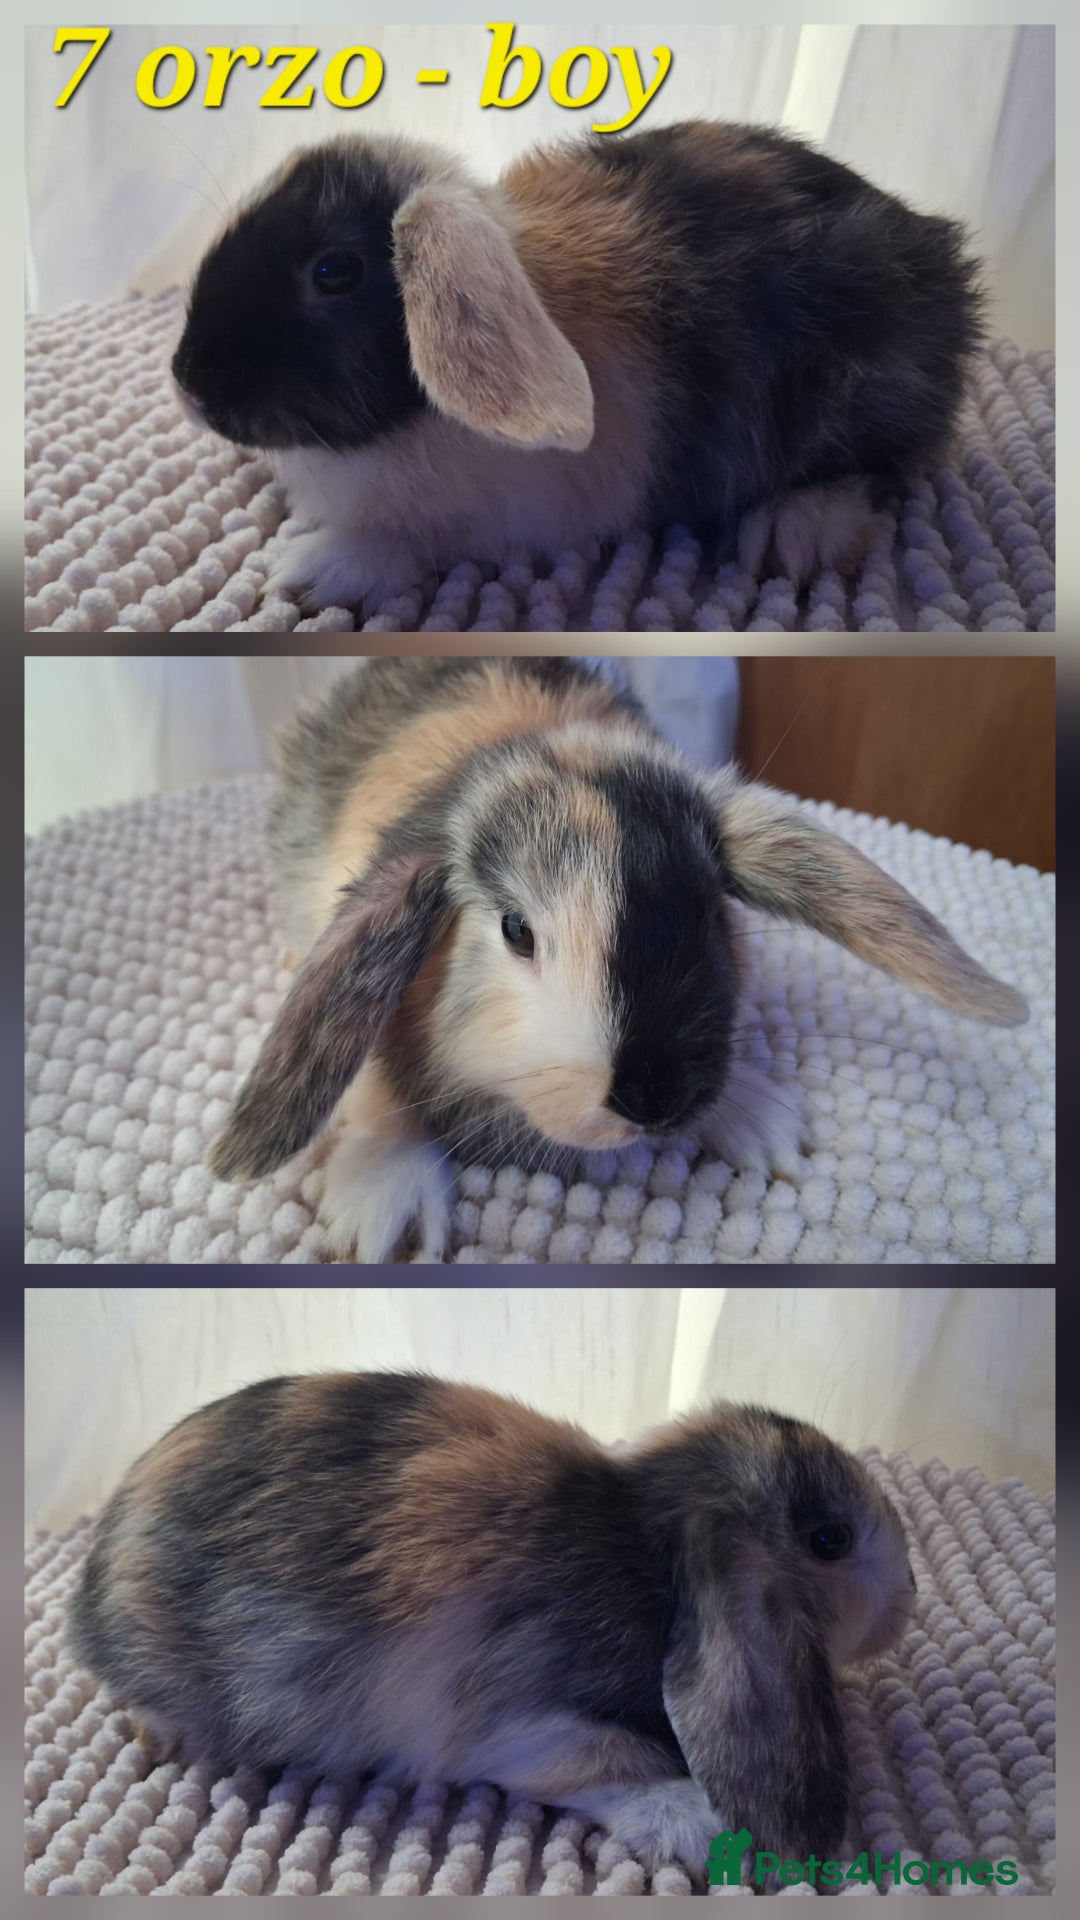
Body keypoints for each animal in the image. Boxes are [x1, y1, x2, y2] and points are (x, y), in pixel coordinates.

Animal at [67, 1371, 918, 1876]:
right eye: (831, 1539)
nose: (909, 1597)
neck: (648, 1554)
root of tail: (91, 1583)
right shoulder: (528, 1726)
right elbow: (609, 1765)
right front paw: (700, 1827)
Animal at [170, 120, 983, 616]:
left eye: (333, 272)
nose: (189, 387)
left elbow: (404, 544)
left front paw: (306, 572)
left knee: (881, 464)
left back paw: (796, 530)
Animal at [206, 657, 1027, 1264]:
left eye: (710, 910)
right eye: (516, 930)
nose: (655, 1098)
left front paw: (761, 1122)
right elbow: (375, 1086)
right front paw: (387, 1213)